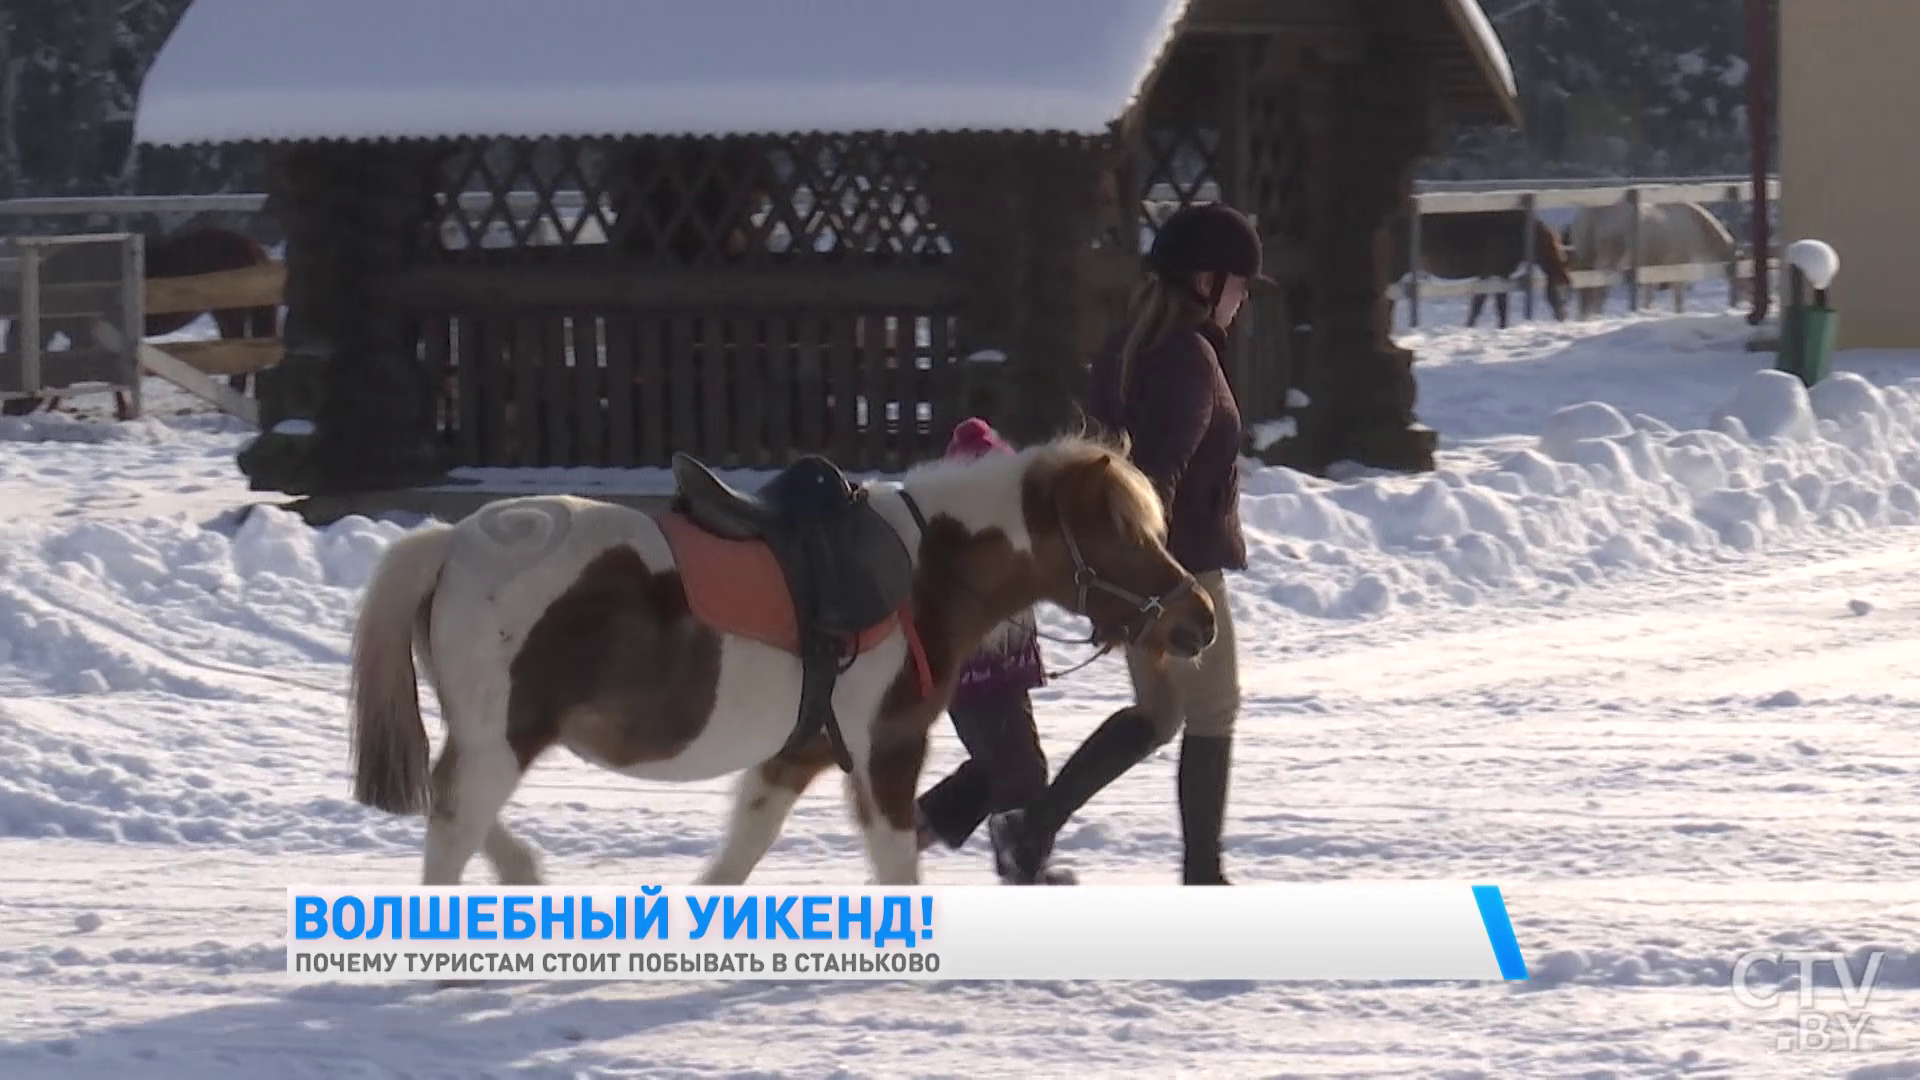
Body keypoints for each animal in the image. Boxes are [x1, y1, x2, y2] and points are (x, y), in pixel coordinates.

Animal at [345, 432, 1213, 887]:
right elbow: (895, 861)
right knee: (453, 819)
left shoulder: (798, 756)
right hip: (503, 737)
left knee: (453, 806)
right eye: (1121, 534)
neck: (921, 572)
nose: (1198, 620)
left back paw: (522, 871)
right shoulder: (887, 750)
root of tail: (453, 541)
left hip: (495, 737)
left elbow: (741, 853)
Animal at [1390, 208, 1566, 328]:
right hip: (1396, 270)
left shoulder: (1495, 276)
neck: (1519, 232)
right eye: (1559, 289)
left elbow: (1485, 306)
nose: (1562, 317)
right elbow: (1490, 306)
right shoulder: (1493, 276)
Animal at [1566, 199, 1751, 315]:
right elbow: (1678, 297)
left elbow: (1649, 297)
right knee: (1597, 292)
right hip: (1607, 263)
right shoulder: (1677, 268)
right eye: (1748, 278)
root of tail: (1590, 214)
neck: (1696, 226)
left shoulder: (1653, 268)